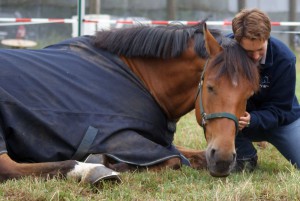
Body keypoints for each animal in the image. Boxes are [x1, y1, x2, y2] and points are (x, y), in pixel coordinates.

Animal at [0, 22, 258, 185]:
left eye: (249, 94)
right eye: (211, 87)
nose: (223, 159)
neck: (143, 79)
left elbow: (191, 156)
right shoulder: (119, 136)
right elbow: (174, 160)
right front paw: (111, 162)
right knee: (9, 168)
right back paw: (93, 170)